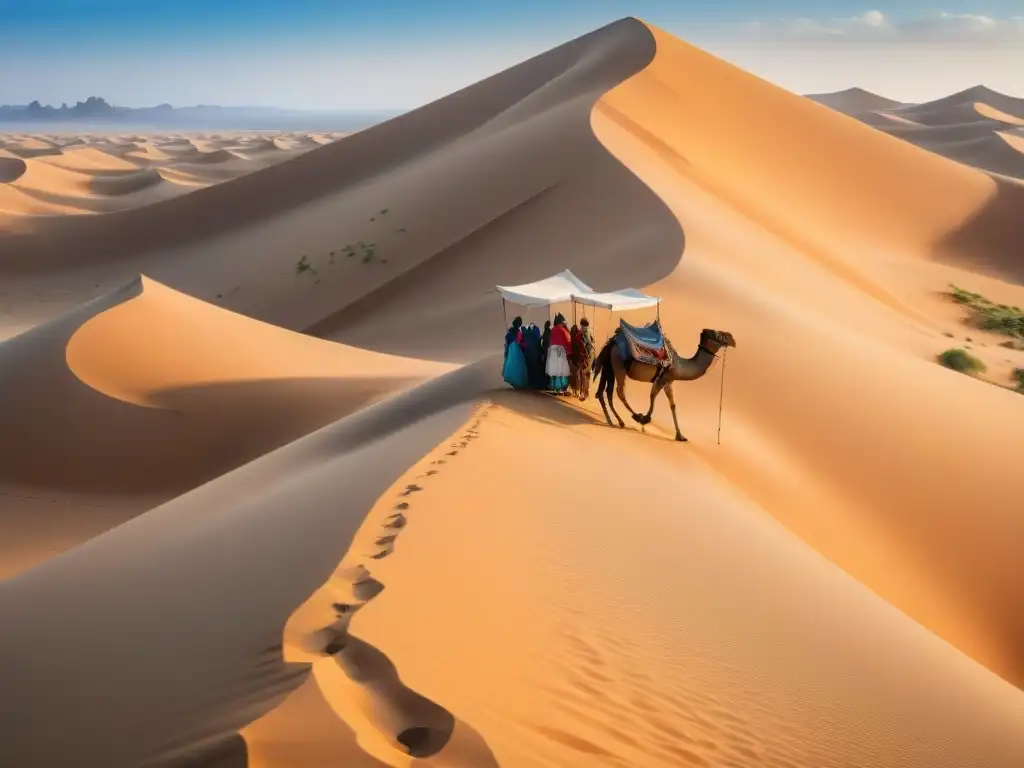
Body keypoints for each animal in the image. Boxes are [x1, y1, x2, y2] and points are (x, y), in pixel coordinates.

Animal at [593, 327, 737, 442]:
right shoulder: (663, 378)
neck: (678, 365)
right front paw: (645, 418)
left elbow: (672, 405)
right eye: (718, 334)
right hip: (619, 365)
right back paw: (633, 417)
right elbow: (653, 396)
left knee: (605, 391)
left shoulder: (669, 382)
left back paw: (615, 421)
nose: (733, 340)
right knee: (619, 391)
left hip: (610, 365)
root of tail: (613, 342)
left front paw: (680, 436)